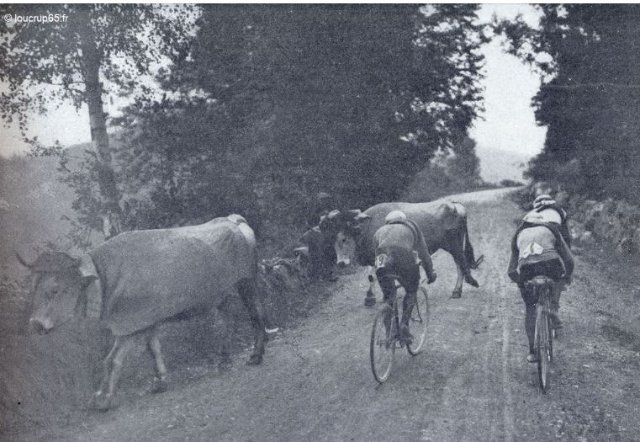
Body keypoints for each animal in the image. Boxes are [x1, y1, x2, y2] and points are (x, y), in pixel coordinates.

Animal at [16, 214, 268, 410]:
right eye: (34, 287)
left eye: (54, 289)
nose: (35, 323)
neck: (104, 278)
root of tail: (232, 220)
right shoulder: (143, 321)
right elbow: (151, 349)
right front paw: (159, 382)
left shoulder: (131, 324)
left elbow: (113, 360)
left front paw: (104, 400)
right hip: (220, 294)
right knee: (225, 320)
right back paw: (223, 361)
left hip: (247, 281)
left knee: (256, 313)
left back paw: (255, 356)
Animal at [322, 201, 482, 302]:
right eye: (332, 239)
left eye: (344, 238)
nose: (341, 263)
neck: (367, 226)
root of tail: (454, 205)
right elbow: (371, 276)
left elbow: (373, 276)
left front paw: (375, 297)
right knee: (459, 263)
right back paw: (457, 291)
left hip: (454, 243)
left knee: (461, 262)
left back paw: (466, 285)